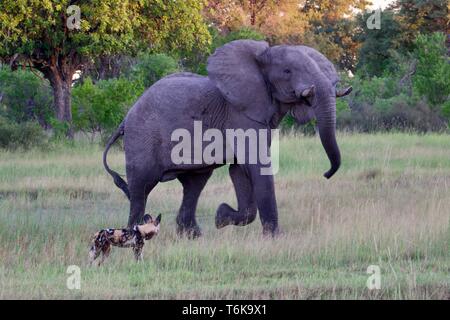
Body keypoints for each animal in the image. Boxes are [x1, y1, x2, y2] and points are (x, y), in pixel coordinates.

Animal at [103, 39, 354, 238]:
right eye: (287, 71)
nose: (326, 174)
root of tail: (125, 119)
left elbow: (239, 170)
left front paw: (220, 218)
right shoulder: (240, 114)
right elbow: (257, 166)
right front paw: (274, 237)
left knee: (194, 184)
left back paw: (193, 236)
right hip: (141, 138)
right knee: (141, 187)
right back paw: (134, 235)